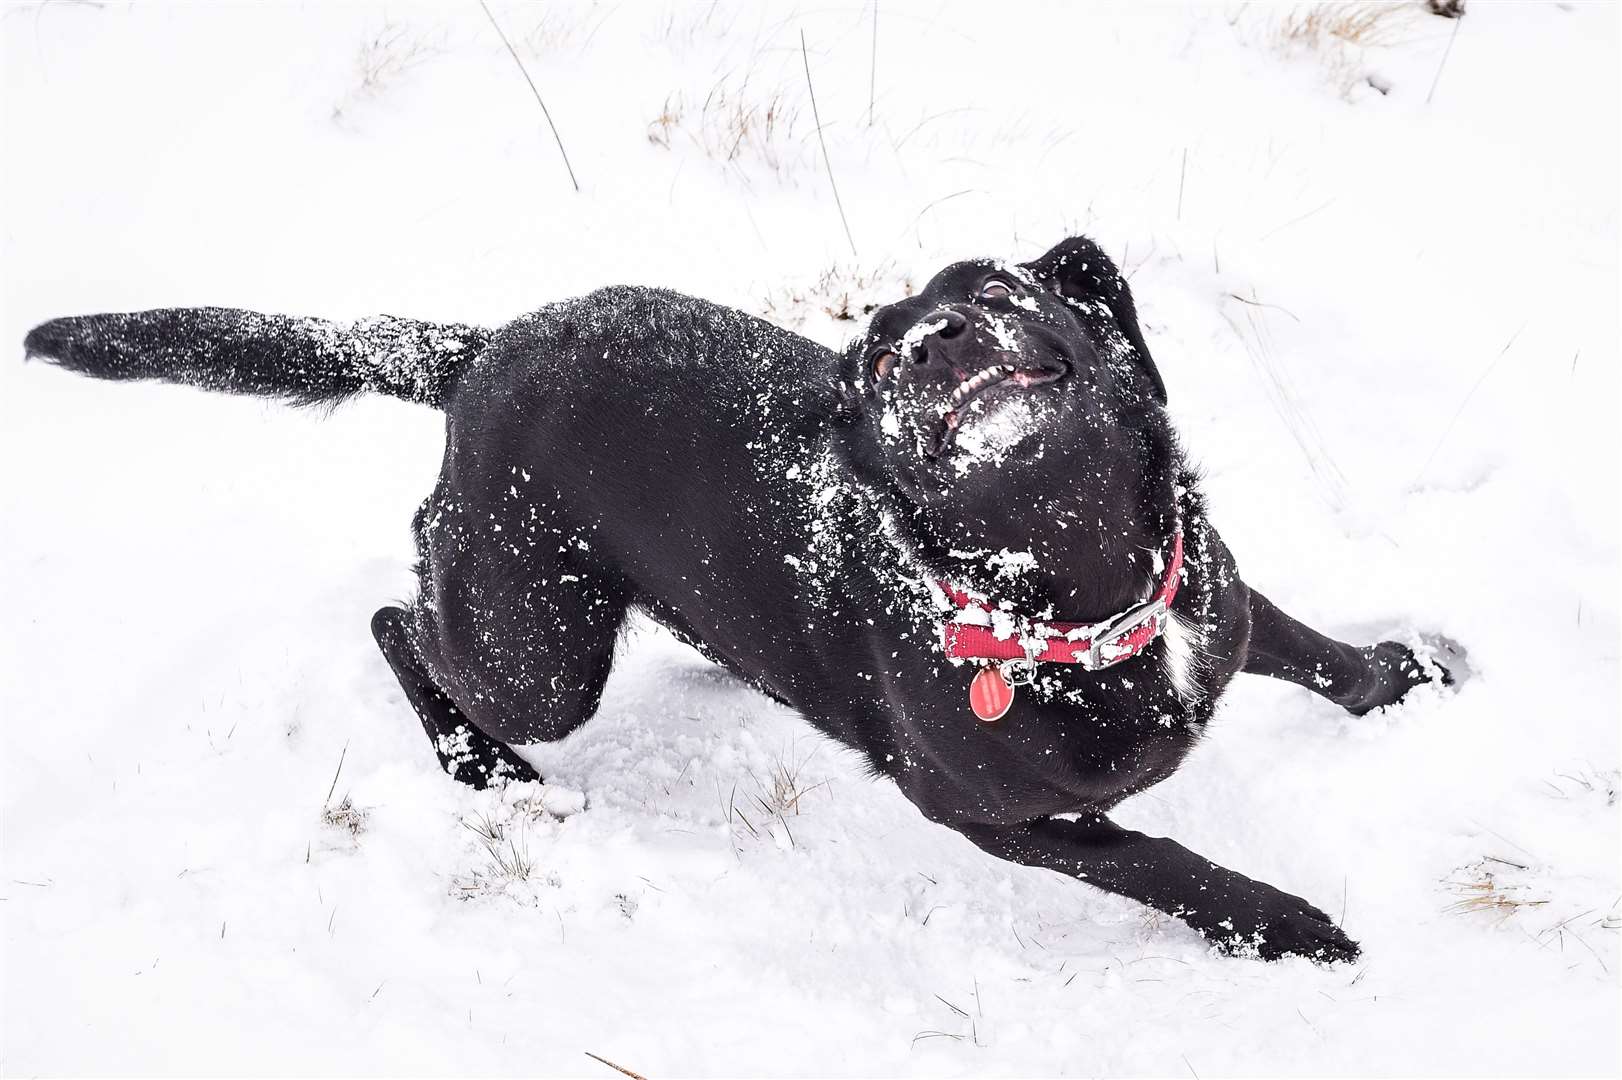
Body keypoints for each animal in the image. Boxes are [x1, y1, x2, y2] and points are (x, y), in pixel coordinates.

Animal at [25, 235, 1446, 960]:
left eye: (995, 292)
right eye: (871, 357)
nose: (931, 345)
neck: (1071, 602)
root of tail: (476, 352)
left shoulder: (1211, 597)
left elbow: (1303, 645)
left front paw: (1405, 677)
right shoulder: (992, 822)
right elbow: (1164, 861)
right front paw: (1286, 928)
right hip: (536, 653)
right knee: (396, 621)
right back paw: (481, 770)